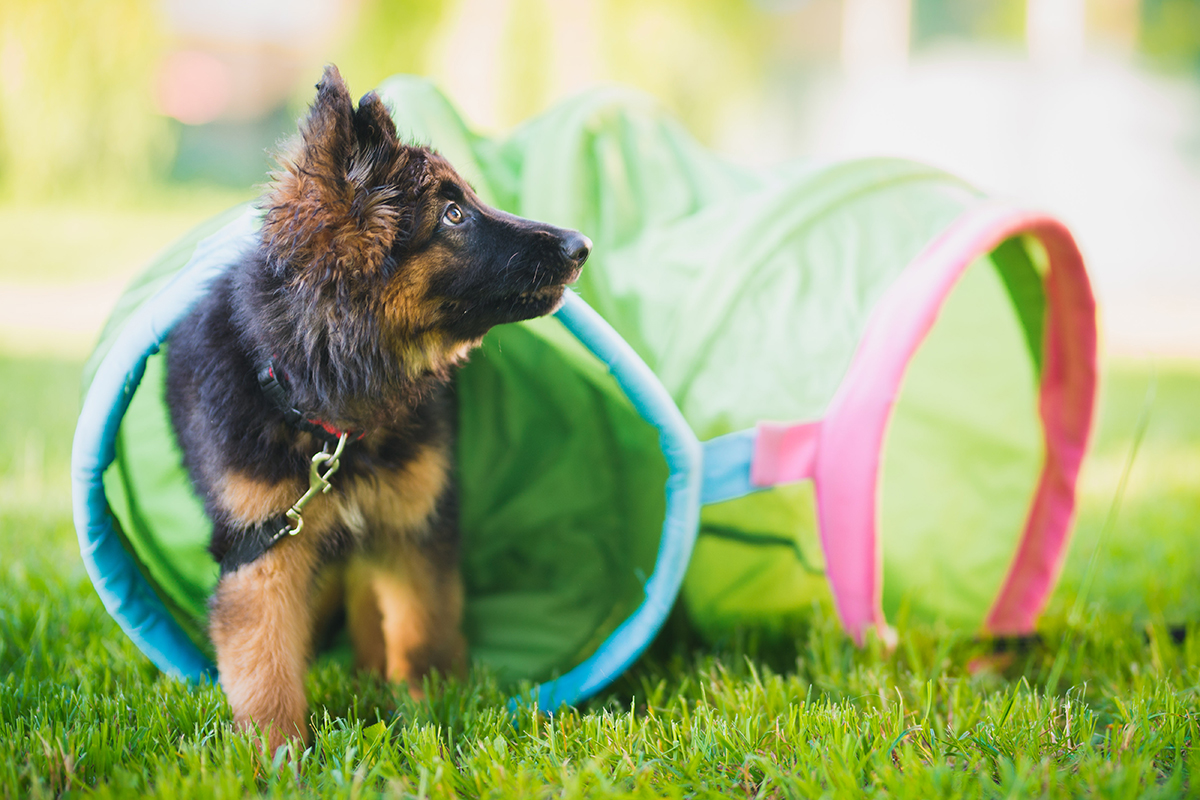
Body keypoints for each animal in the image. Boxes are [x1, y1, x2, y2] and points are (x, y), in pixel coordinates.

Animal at [168, 67, 590, 753]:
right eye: (452, 214)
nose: (582, 245)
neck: (331, 415)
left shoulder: (413, 529)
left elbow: (421, 636)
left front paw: (430, 717)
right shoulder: (261, 550)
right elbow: (266, 667)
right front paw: (278, 756)